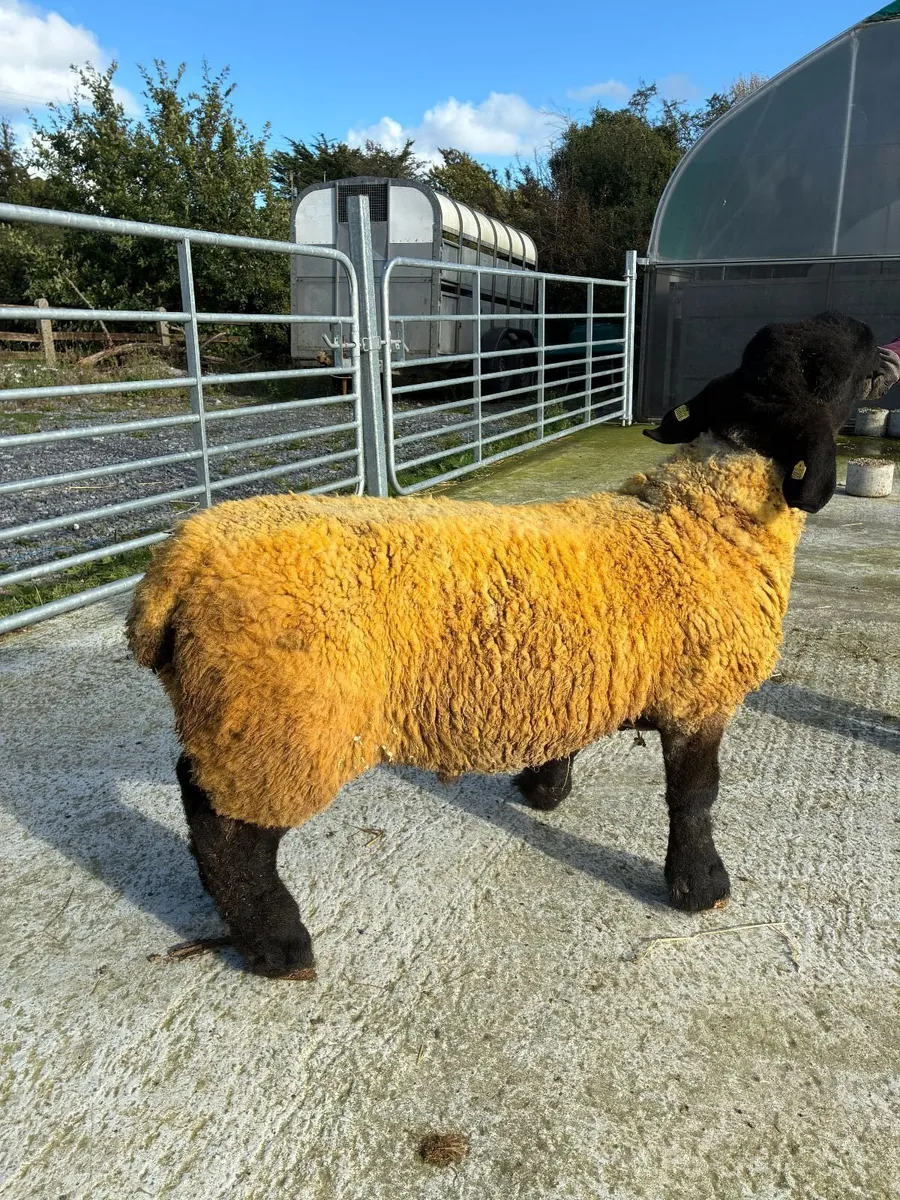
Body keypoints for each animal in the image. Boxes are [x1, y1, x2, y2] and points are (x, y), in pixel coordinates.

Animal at [127, 310, 899, 980]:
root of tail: (181, 561)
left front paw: (543, 789)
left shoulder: (585, 671)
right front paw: (701, 886)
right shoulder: (700, 696)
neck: (703, 517)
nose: (886, 342)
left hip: (240, 713)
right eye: (839, 361)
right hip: (281, 721)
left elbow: (571, 739)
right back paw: (278, 944)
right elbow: (695, 797)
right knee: (227, 829)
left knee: (199, 792)